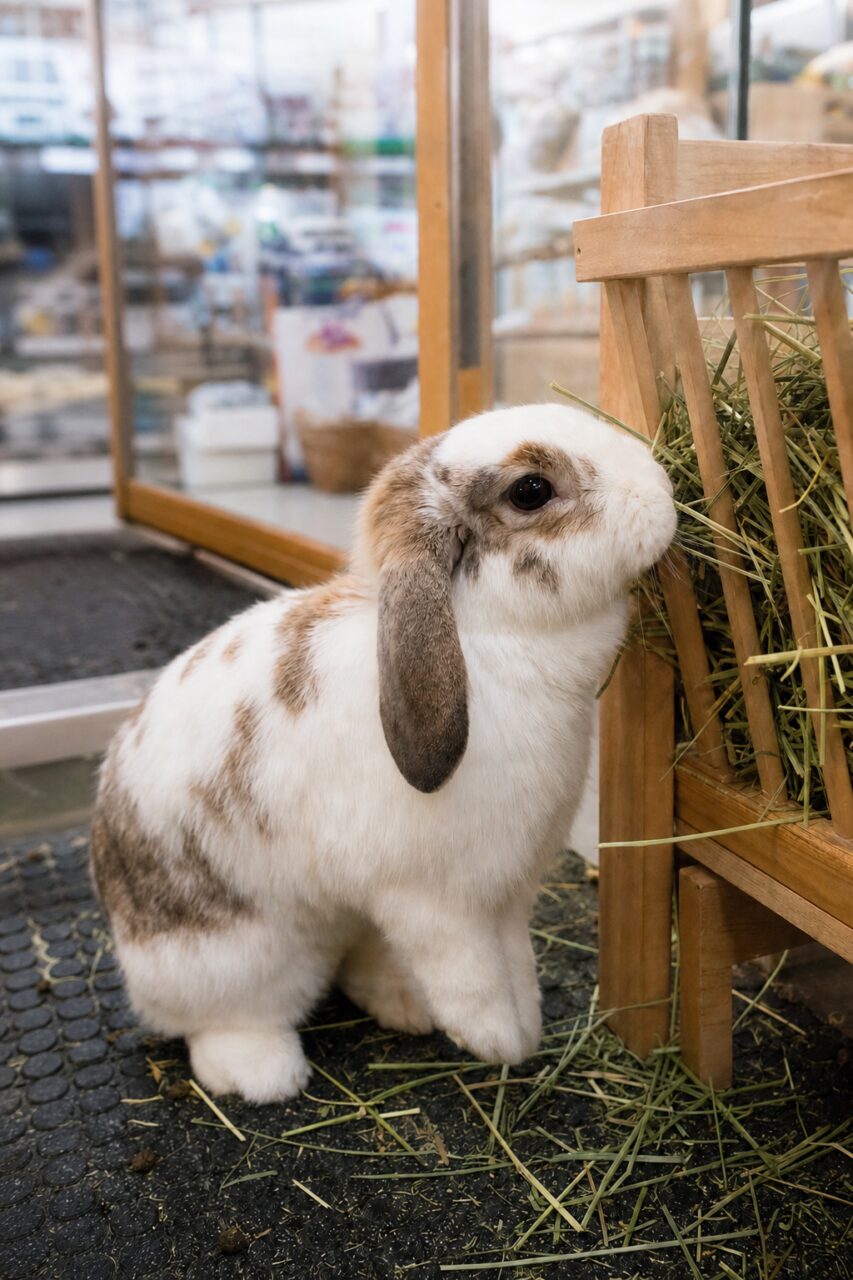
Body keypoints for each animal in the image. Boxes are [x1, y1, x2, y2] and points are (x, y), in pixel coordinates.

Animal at [90, 403, 676, 1103]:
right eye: (531, 490)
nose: (663, 492)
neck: (480, 640)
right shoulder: (436, 903)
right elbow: (473, 977)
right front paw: (499, 1043)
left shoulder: (507, 897)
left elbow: (517, 964)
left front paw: (529, 1028)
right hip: (233, 958)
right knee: (218, 1022)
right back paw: (265, 1074)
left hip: (349, 924)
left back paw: (405, 1007)